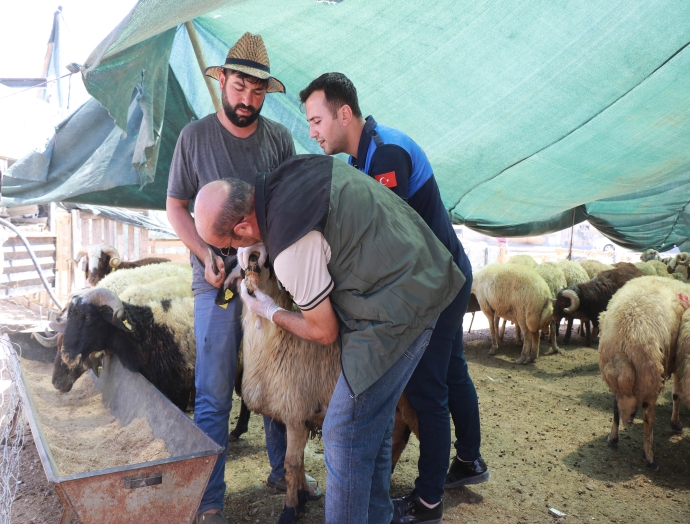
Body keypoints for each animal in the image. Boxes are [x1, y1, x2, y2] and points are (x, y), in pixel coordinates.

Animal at [596, 276, 688, 468]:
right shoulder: (679, 360)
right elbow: (676, 394)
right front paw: (676, 424)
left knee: (616, 406)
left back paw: (614, 437)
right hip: (650, 379)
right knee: (648, 420)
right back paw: (650, 458)